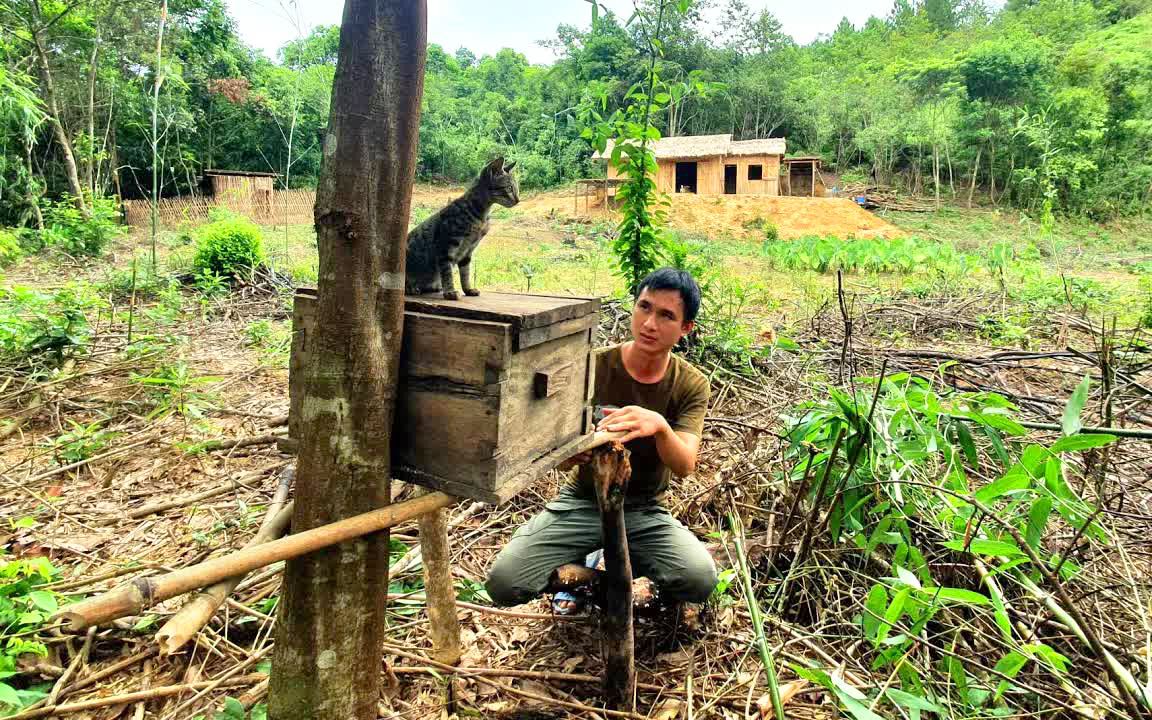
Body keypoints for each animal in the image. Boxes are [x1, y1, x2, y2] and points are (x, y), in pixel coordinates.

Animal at [400, 156, 518, 299]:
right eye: (509, 188)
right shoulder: (446, 247)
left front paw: (468, 290)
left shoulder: (468, 251)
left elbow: (465, 274)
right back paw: (411, 287)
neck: (482, 216)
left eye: (516, 188)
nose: (518, 200)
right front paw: (450, 291)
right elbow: (447, 273)